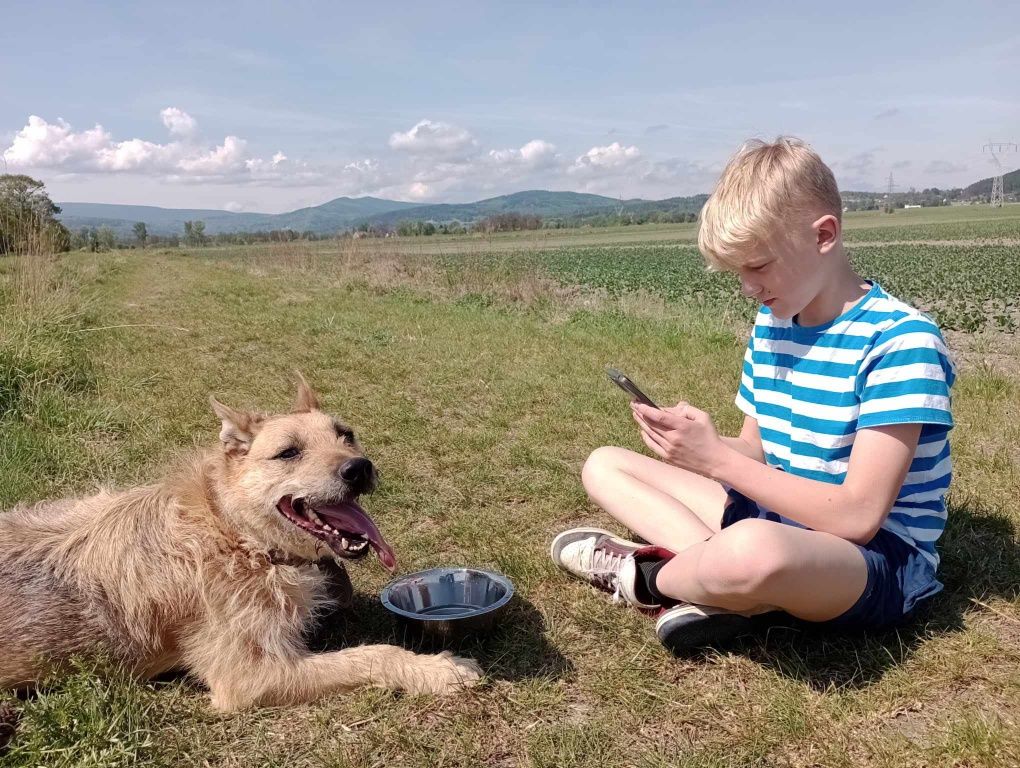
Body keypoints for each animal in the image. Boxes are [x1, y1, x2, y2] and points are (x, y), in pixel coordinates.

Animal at [0, 375, 481, 709]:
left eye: (346, 434)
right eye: (288, 452)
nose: (359, 468)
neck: (236, 533)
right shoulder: (248, 677)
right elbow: (370, 654)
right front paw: (439, 668)